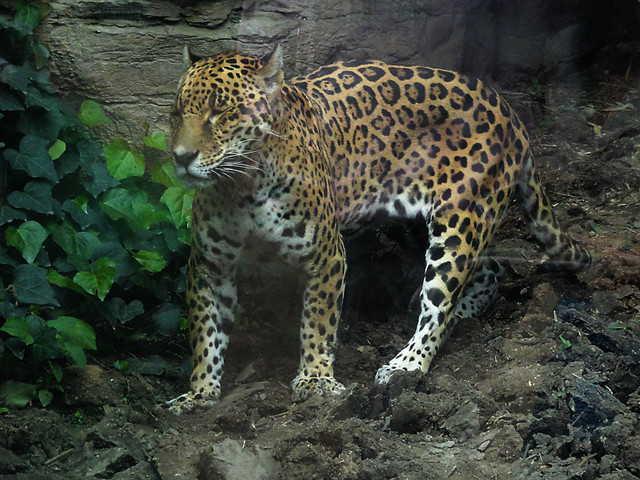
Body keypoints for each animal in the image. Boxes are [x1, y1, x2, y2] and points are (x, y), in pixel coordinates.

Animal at [165, 45, 591, 415]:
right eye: (177, 113)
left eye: (220, 112)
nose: (181, 158)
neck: (243, 187)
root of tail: (509, 112)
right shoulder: (208, 265)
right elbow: (205, 331)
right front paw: (199, 393)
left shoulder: (326, 256)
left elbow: (317, 322)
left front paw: (316, 379)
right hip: (422, 224)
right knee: (489, 272)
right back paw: (460, 314)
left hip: (458, 222)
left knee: (441, 301)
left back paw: (406, 364)